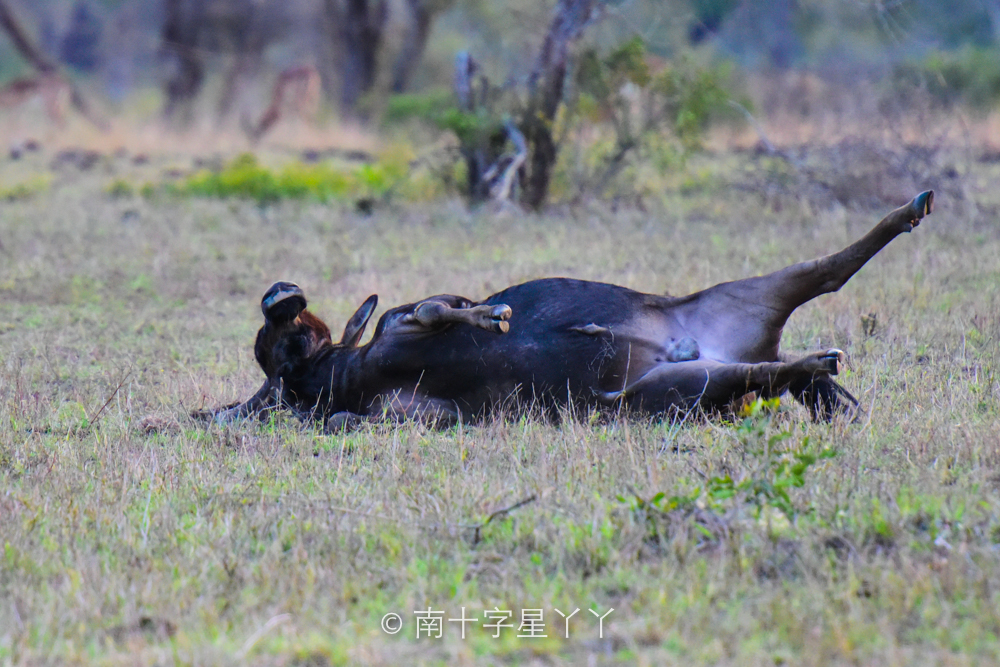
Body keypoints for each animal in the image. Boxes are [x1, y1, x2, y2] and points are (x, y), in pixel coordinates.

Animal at [205, 190, 936, 430]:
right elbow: (349, 421)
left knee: (832, 271)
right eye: (271, 352)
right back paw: (819, 363)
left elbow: (441, 308)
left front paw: (488, 316)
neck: (341, 375)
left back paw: (913, 207)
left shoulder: (403, 317)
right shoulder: (418, 412)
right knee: (785, 355)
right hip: (678, 389)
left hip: (739, 295)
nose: (281, 295)